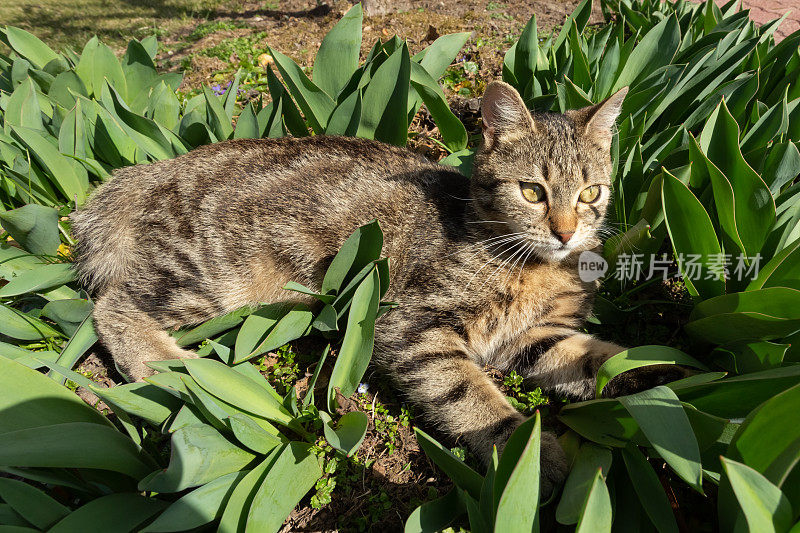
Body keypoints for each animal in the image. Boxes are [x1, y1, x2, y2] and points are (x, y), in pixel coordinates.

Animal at [73, 81, 680, 492]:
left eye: (590, 193)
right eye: (532, 192)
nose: (566, 231)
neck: (533, 264)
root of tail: (160, 166)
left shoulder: (538, 337)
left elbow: (606, 358)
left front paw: (676, 383)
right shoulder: (414, 330)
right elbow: (471, 395)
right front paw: (525, 452)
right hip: (213, 278)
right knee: (112, 307)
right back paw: (173, 371)